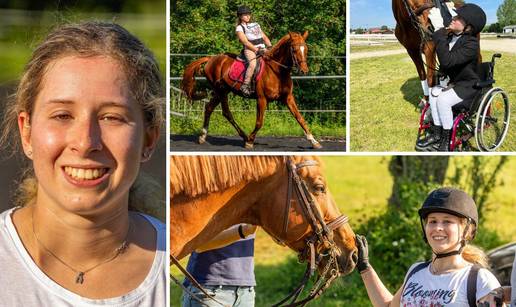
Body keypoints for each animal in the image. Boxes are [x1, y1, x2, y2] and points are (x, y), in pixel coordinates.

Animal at [179, 31, 320, 150]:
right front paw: (250, 141)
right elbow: (259, 122)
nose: (304, 71)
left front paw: (314, 141)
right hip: (221, 91)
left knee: (210, 108)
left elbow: (300, 118)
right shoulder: (262, 99)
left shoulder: (288, 98)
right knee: (225, 112)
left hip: (222, 91)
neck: (278, 71)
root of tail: (211, 58)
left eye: (306, 49)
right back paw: (244, 137)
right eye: (294, 49)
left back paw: (204, 136)